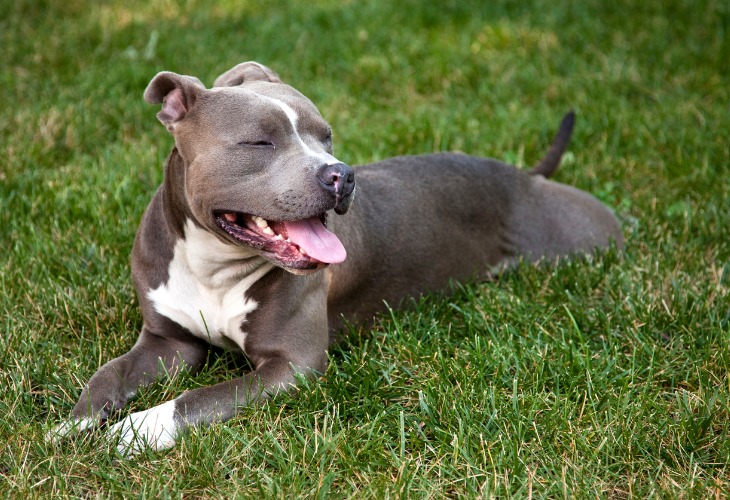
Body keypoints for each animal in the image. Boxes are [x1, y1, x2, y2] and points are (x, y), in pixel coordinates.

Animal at [48, 61, 624, 454]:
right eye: (259, 143)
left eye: (326, 137)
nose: (341, 174)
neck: (215, 263)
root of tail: (526, 177)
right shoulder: (168, 343)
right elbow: (108, 375)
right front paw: (72, 424)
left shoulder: (291, 366)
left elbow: (198, 398)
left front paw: (135, 429)